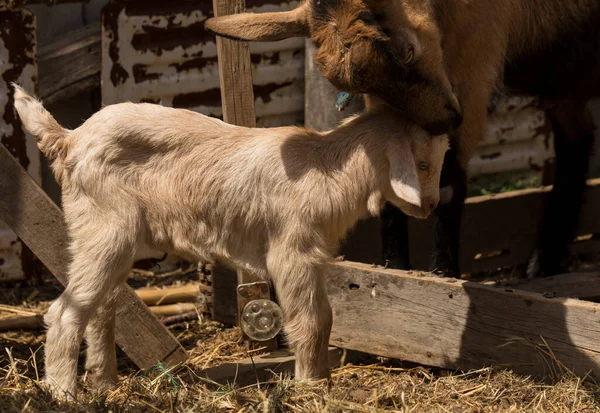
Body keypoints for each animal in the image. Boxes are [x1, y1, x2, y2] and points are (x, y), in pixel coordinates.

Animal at [11, 84, 448, 400]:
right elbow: (311, 321)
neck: (327, 167)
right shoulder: (292, 252)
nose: (431, 206)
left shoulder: (314, 256)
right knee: (66, 312)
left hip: (112, 239)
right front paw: (310, 385)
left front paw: (322, 378)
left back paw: (106, 384)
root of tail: (68, 138)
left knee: (101, 309)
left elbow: (325, 318)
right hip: (105, 230)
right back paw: (64, 394)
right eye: (422, 163)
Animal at [207, 0, 600, 276]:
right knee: (577, 138)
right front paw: (395, 269)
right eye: (349, 86)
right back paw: (544, 260)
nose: (444, 121)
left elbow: (450, 184)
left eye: (408, 50)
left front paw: (443, 276)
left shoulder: (475, 63)